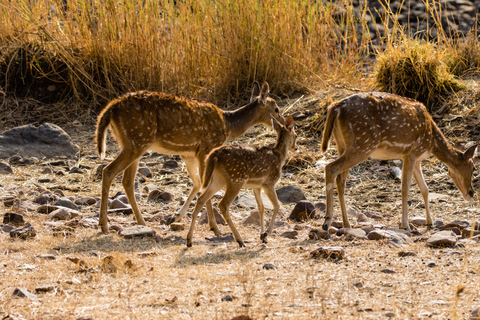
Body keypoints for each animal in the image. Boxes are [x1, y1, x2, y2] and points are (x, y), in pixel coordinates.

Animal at [94, 82, 284, 232]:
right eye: (276, 108)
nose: (283, 124)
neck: (227, 125)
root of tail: (110, 109)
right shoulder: (206, 148)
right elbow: (204, 187)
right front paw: (214, 228)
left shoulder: (188, 153)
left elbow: (197, 183)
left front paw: (177, 216)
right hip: (136, 141)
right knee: (108, 171)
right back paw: (104, 225)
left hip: (132, 143)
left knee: (127, 180)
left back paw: (141, 222)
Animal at [187, 115, 296, 248]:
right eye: (296, 135)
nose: (295, 147)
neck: (279, 157)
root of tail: (214, 154)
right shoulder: (269, 183)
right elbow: (276, 205)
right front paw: (266, 234)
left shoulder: (257, 186)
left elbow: (261, 208)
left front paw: (263, 237)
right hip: (236, 179)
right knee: (223, 204)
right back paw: (240, 240)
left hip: (218, 179)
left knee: (201, 199)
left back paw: (189, 240)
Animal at [320, 91, 474, 231]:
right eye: (473, 167)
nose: (471, 193)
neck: (432, 142)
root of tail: (335, 107)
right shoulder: (411, 153)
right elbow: (405, 187)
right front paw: (405, 225)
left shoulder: (417, 159)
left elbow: (425, 189)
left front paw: (430, 222)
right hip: (362, 145)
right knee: (330, 168)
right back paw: (327, 221)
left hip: (342, 145)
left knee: (340, 180)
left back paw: (346, 224)